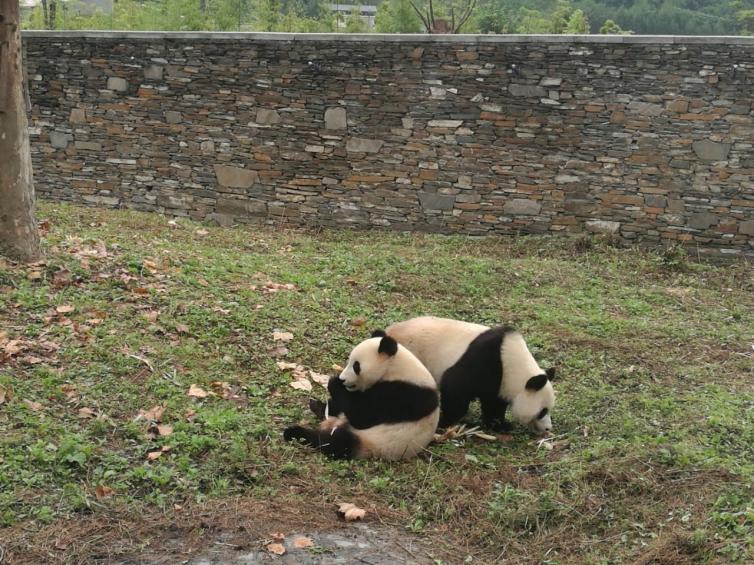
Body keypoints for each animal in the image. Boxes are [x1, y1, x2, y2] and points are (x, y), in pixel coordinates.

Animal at [282, 334, 438, 458]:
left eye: (356, 366)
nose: (343, 379)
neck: (395, 367)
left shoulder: (405, 394)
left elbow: (362, 415)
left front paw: (334, 382)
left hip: (374, 442)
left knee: (336, 442)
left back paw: (295, 433)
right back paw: (317, 407)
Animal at [388, 318, 552, 432]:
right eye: (543, 411)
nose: (548, 429)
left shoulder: (500, 380)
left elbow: (493, 402)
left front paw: (501, 425)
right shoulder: (483, 360)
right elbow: (456, 389)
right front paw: (445, 421)